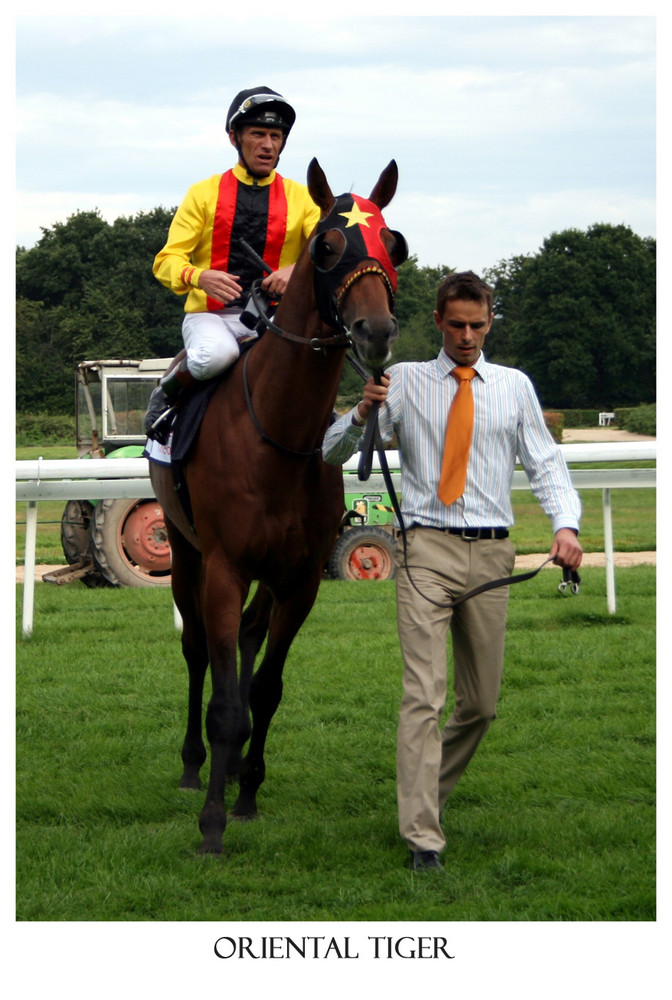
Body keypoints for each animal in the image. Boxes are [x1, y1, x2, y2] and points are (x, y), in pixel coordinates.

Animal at [151, 160, 404, 856]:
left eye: (393, 243)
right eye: (327, 245)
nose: (376, 332)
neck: (280, 438)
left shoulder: (299, 579)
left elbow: (264, 690)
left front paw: (246, 795)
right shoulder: (224, 566)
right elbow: (224, 701)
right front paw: (211, 822)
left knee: (245, 637)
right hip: (185, 553)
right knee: (196, 651)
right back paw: (192, 766)